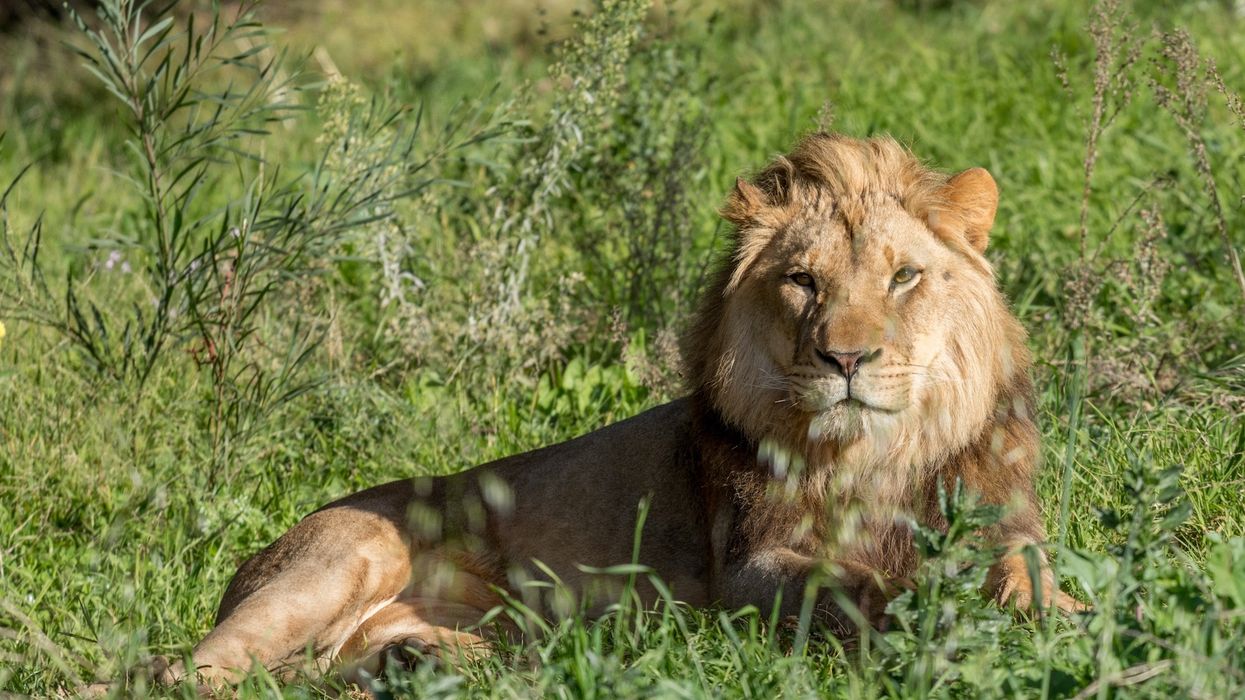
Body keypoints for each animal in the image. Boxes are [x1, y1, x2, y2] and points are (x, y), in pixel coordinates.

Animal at [157, 132, 1082, 687]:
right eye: (801, 281)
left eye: (903, 277)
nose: (844, 359)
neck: (879, 457)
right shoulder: (745, 570)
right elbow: (855, 583)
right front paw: (932, 611)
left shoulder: (1005, 522)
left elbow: (1025, 570)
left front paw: (1065, 614)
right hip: (348, 554)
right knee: (188, 672)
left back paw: (427, 664)